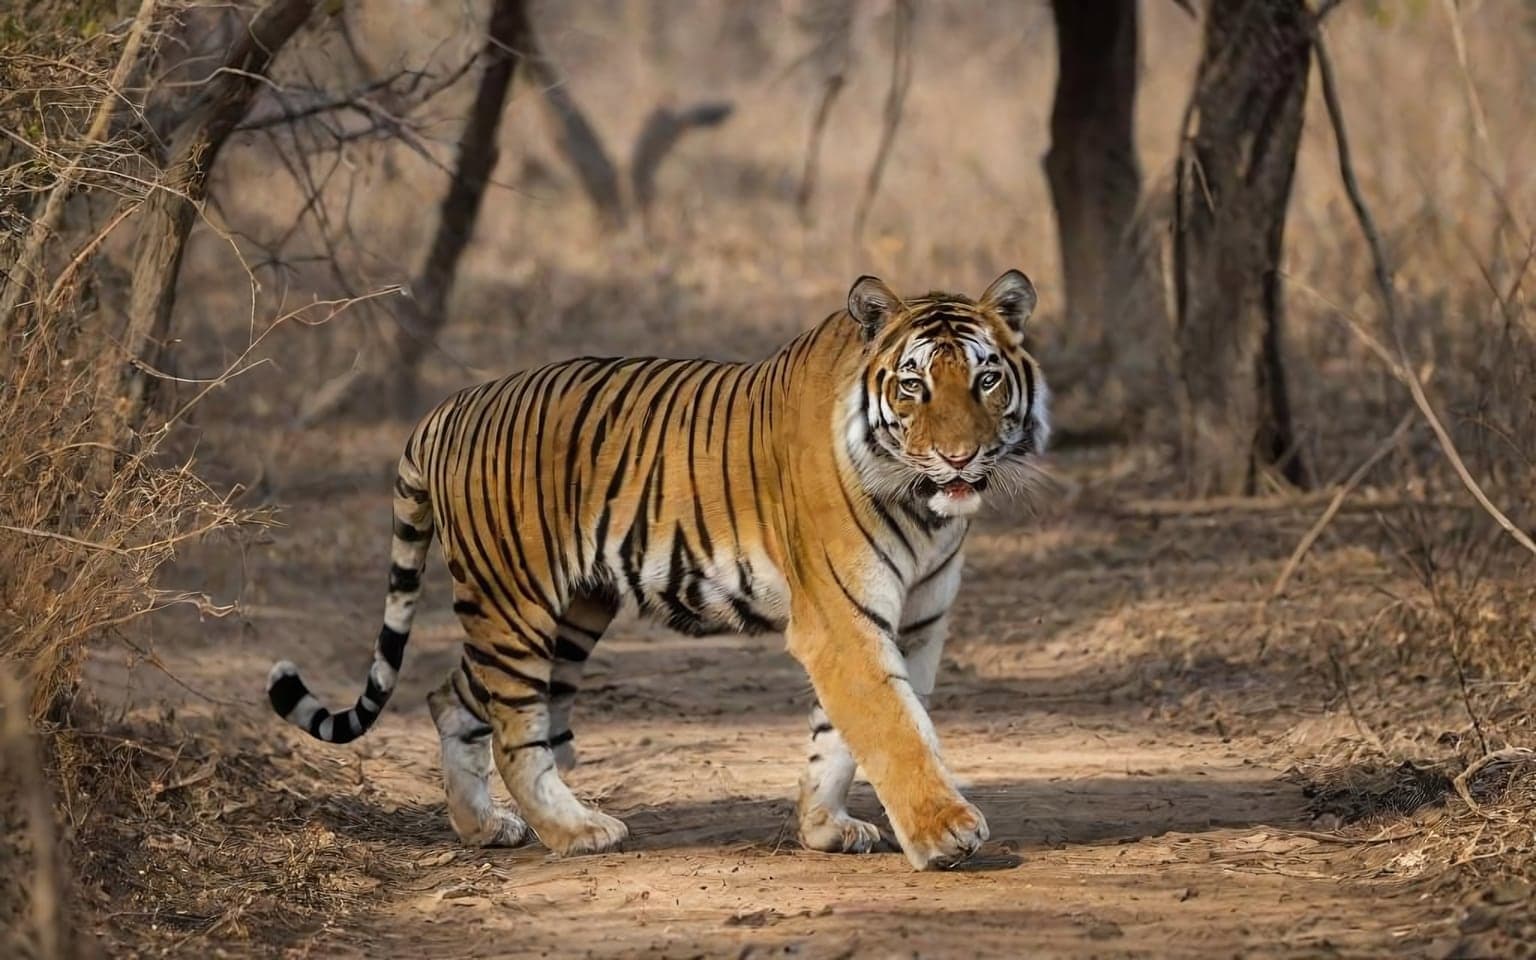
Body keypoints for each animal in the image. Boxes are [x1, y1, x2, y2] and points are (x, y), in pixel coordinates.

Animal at [266, 269, 1049, 870]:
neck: (924, 510)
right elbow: (892, 729)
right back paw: (576, 831)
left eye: (986, 380)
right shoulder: (842, 621)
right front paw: (944, 834)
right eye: (914, 387)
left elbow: (844, 736)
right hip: (515, 606)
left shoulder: (913, 622)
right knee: (517, 733)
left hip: (567, 613)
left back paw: (482, 827)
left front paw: (825, 829)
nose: (957, 459)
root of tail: (447, 409)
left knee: (450, 698)